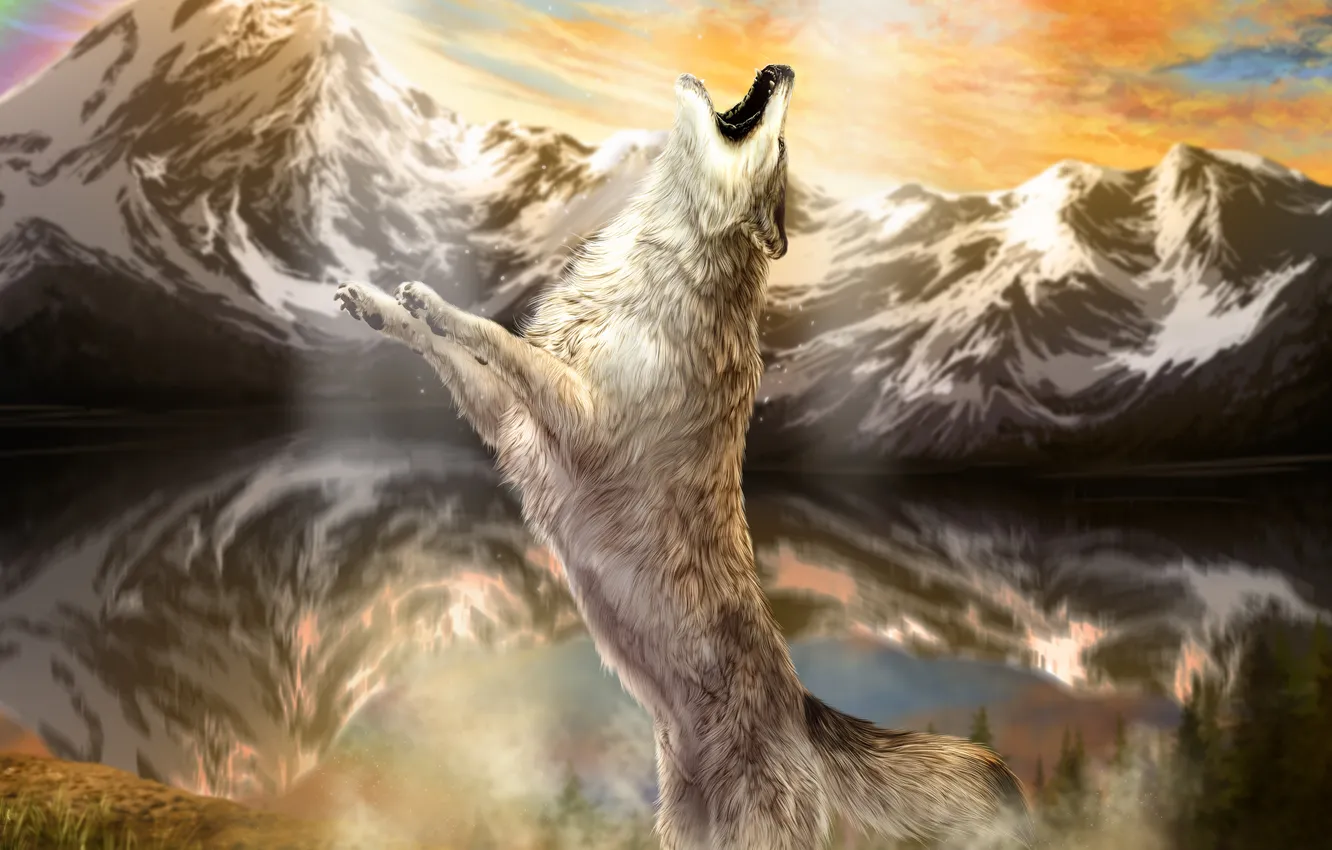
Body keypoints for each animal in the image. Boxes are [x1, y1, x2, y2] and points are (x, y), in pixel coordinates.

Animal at [334, 65, 1029, 849]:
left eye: (779, 144)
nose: (784, 69)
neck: (661, 259)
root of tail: (802, 707)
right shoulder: (512, 424)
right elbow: (447, 345)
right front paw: (380, 304)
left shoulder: (578, 417)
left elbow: (492, 335)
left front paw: (435, 302)